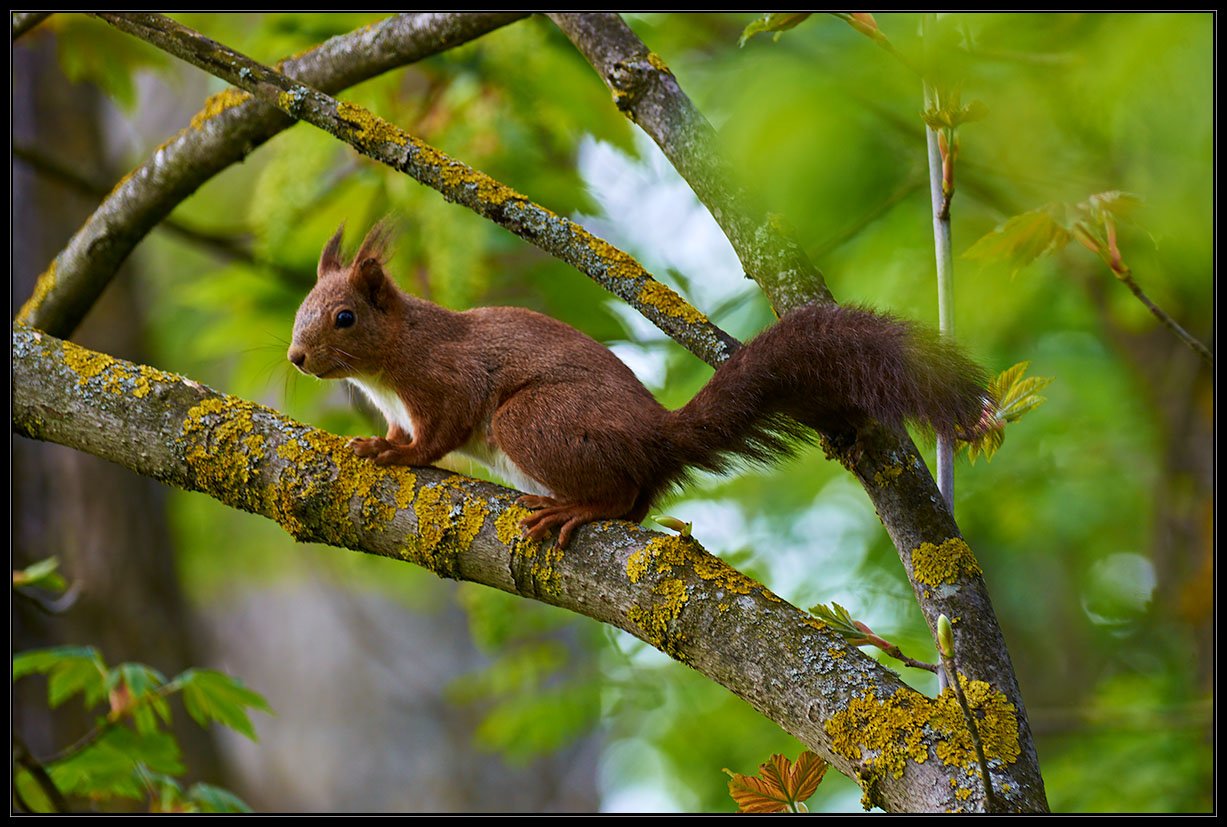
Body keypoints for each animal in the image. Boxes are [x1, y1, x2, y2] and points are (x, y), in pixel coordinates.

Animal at [284, 225, 986, 544]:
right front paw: (377, 444)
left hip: (533, 421)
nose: (296, 356)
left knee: (620, 494)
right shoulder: (398, 405)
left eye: (344, 318)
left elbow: (438, 436)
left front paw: (401, 454)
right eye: (299, 311)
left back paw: (577, 508)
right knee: (640, 503)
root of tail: (656, 435)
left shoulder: (445, 381)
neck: (391, 361)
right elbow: (398, 430)